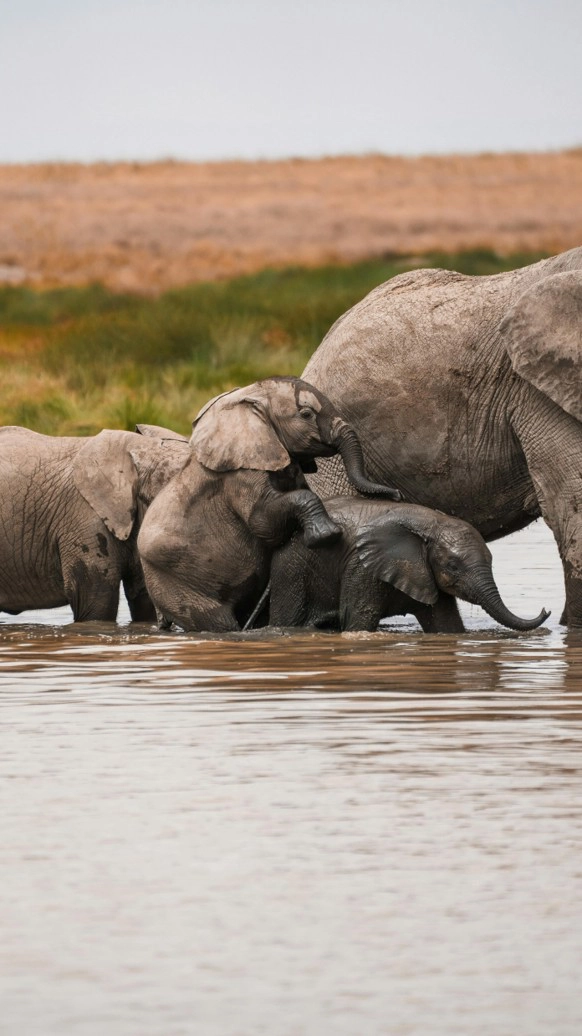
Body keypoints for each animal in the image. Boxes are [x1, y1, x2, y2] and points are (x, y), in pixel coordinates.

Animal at [137, 376, 400, 632]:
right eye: (306, 414)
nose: (397, 494)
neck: (247, 401)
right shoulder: (240, 475)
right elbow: (264, 523)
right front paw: (327, 534)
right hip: (177, 585)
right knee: (216, 621)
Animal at [269, 497, 549, 633]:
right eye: (453, 566)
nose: (546, 610)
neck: (431, 524)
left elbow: (447, 625)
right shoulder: (362, 568)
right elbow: (359, 621)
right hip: (291, 570)